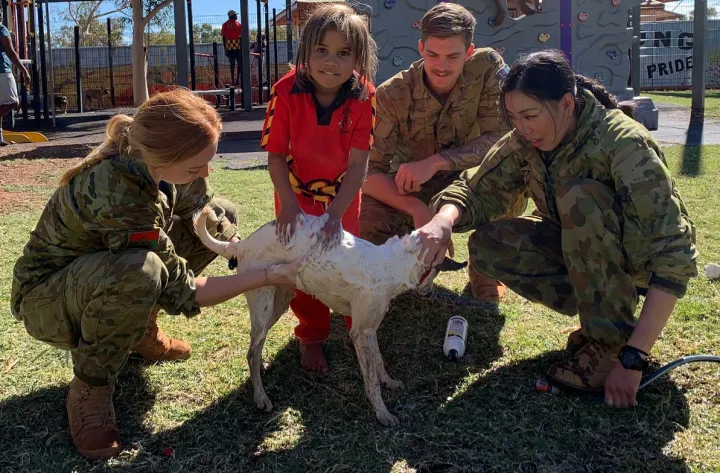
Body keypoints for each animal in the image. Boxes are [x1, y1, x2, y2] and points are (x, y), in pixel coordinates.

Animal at [195, 206, 466, 424]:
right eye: (436, 272)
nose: (428, 293)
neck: (392, 262)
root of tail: (242, 245)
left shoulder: (369, 330)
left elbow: (378, 362)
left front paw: (388, 382)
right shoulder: (360, 333)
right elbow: (371, 380)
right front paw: (382, 413)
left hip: (278, 302)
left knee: (255, 347)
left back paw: (261, 368)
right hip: (263, 305)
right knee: (251, 352)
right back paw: (261, 397)